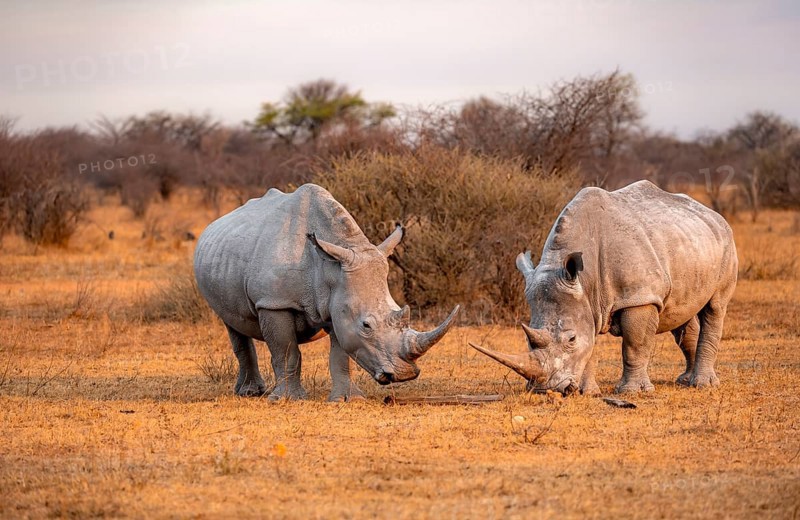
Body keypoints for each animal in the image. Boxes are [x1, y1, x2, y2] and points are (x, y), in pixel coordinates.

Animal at [194, 184, 460, 401]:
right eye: (366, 325)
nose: (405, 375)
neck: (329, 268)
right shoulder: (274, 302)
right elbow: (286, 351)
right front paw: (288, 399)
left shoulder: (338, 303)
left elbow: (340, 355)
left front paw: (348, 399)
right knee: (232, 324)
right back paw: (250, 393)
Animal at [470, 180, 738, 395]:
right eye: (527, 340)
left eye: (570, 339)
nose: (545, 390)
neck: (585, 279)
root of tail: (714, 214)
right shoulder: (585, 300)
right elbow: (589, 345)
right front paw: (587, 393)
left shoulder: (638, 297)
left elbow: (634, 345)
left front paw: (632, 392)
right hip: (690, 245)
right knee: (682, 314)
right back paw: (685, 381)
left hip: (726, 242)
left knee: (715, 307)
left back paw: (703, 384)